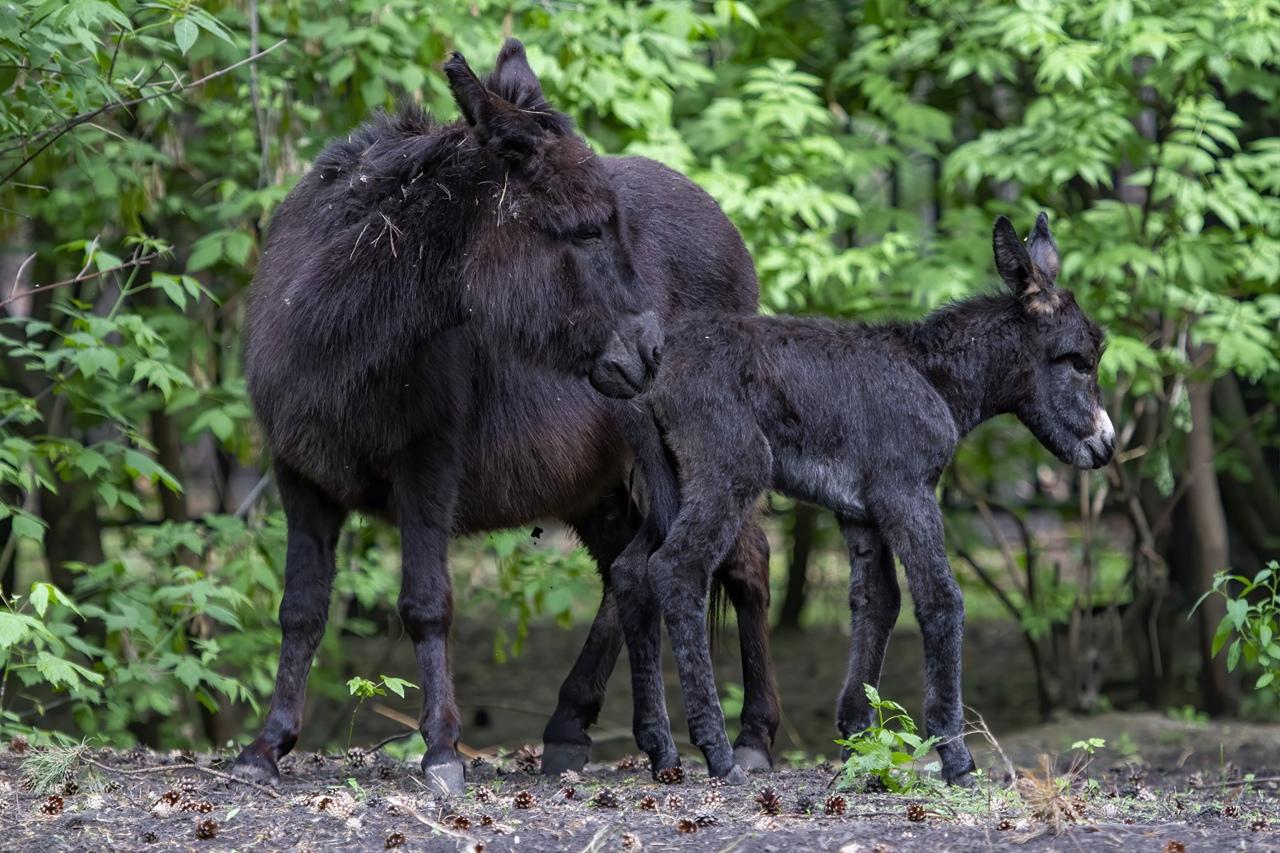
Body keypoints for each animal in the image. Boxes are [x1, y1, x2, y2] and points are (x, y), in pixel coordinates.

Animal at [616, 213, 1111, 783]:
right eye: (1079, 362)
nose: (1107, 447)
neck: (932, 378)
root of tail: (654, 371)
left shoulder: (861, 513)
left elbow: (879, 601)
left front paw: (857, 737)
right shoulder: (906, 492)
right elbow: (941, 598)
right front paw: (955, 756)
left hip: (669, 484)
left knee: (632, 572)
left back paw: (662, 751)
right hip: (731, 469)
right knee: (678, 568)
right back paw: (717, 752)